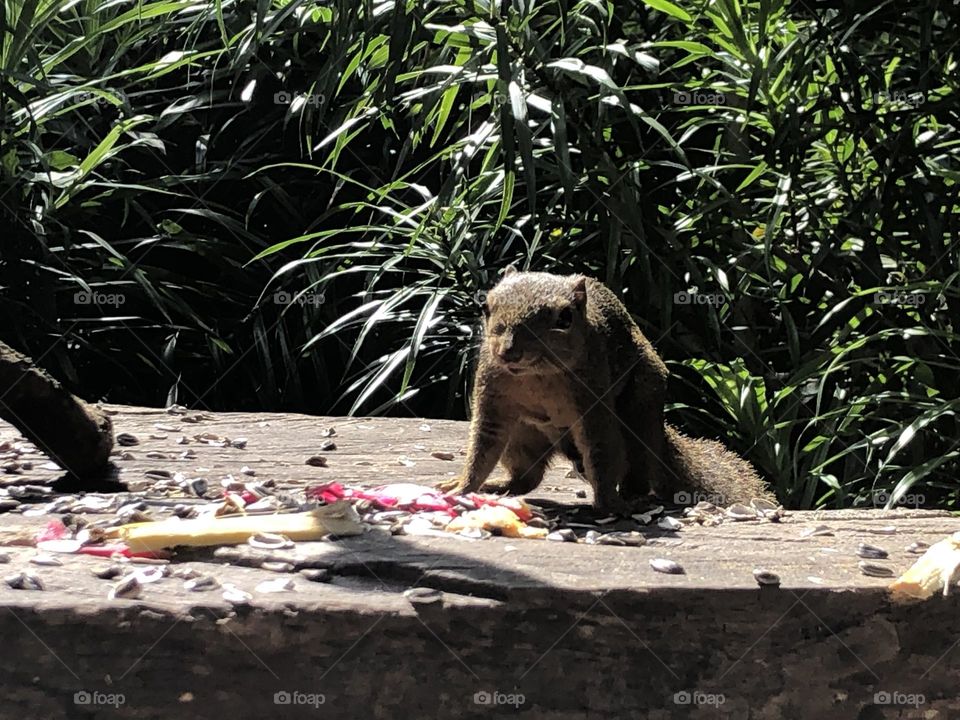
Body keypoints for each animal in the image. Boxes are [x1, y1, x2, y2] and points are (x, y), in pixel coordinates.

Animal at [437, 268, 772, 512]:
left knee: (633, 466)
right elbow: (483, 445)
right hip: (522, 437)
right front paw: (463, 486)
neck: (536, 376)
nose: (509, 352)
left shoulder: (594, 400)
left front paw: (608, 503)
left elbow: (599, 447)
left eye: (564, 318)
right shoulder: (492, 395)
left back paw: (633, 498)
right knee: (526, 478)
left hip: (639, 415)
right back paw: (500, 485)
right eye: (486, 307)